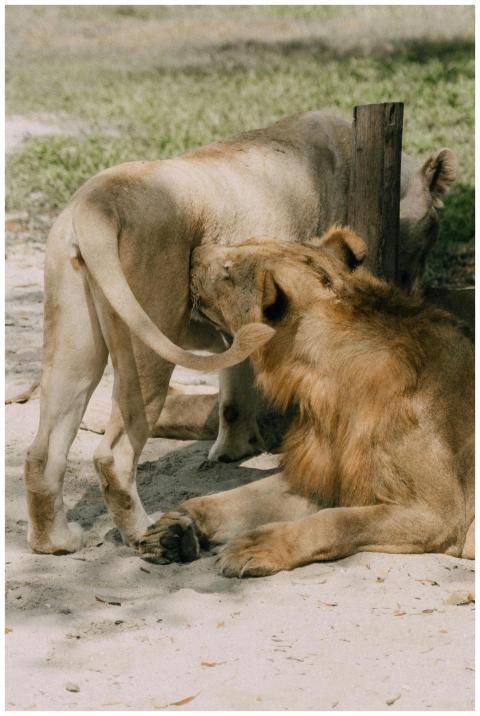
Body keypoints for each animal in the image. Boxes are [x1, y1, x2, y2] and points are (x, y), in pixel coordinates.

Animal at [24, 111, 457, 556]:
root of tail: (94, 206)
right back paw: (149, 534)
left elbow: (233, 392)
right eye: (433, 231)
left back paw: (55, 542)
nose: (418, 289)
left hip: (72, 342)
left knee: (42, 451)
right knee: (114, 455)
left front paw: (232, 449)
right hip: (148, 338)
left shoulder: (242, 322)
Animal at [138, 227, 474, 576]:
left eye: (228, 271)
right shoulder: (323, 474)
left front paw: (256, 546)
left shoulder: (439, 512)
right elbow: (238, 497)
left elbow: (333, 522)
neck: (321, 386)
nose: (192, 254)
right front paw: (176, 527)